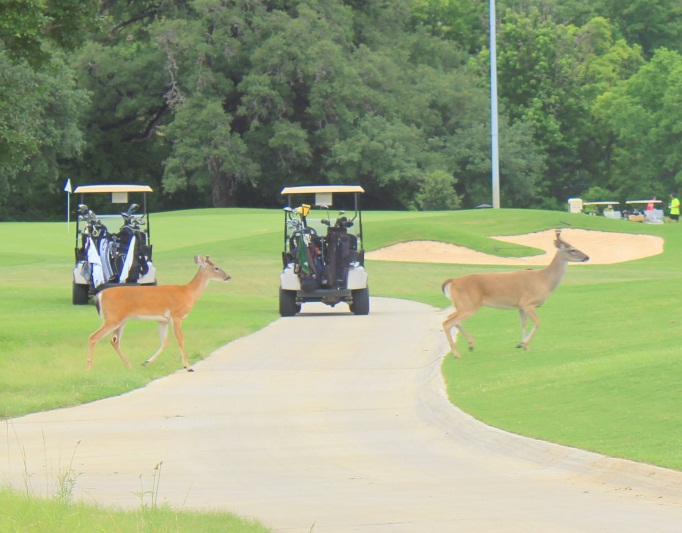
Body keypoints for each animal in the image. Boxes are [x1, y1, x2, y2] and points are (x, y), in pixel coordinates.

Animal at [87, 255, 231, 372]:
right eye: (216, 268)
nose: (229, 276)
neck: (187, 293)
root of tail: (99, 295)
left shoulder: (163, 320)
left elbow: (165, 343)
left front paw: (146, 362)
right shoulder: (176, 316)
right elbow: (180, 340)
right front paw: (188, 366)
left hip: (121, 320)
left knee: (114, 340)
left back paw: (129, 366)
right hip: (112, 318)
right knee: (93, 337)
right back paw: (89, 368)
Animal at [441, 230, 588, 358]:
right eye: (572, 249)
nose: (587, 257)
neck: (544, 280)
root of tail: (453, 281)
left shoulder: (520, 307)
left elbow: (523, 324)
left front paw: (523, 345)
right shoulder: (527, 303)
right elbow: (537, 322)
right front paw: (524, 344)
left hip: (463, 305)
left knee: (452, 320)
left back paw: (471, 345)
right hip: (468, 305)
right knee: (447, 322)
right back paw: (457, 354)